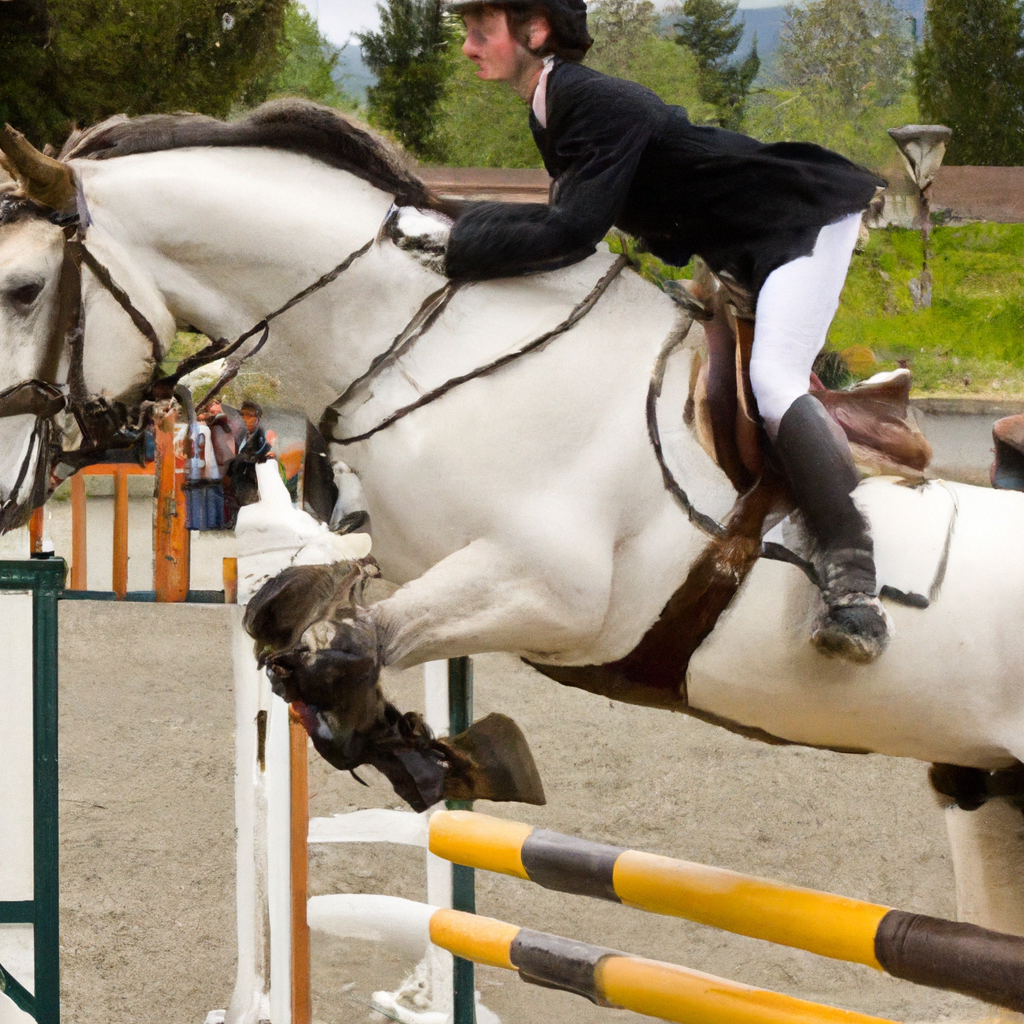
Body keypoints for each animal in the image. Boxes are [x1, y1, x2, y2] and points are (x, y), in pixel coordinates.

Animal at [2, 105, 1024, 942]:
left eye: (20, 289)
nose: (10, 493)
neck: (420, 343)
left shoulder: (556, 593)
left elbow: (342, 648)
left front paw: (435, 754)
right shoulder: (398, 548)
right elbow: (286, 624)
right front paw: (425, 751)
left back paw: (851, 612)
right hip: (988, 802)